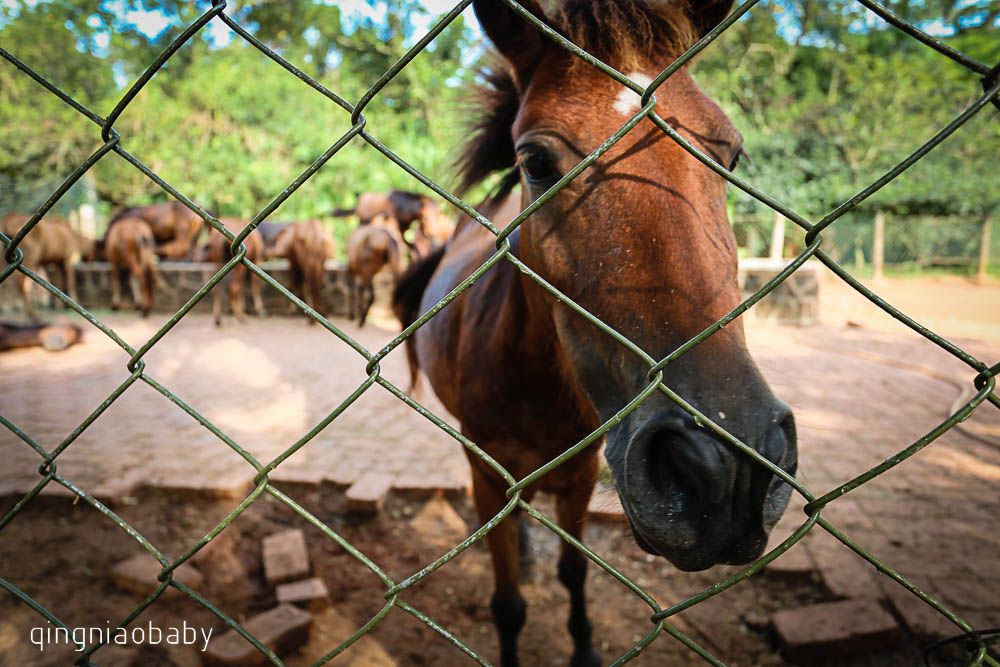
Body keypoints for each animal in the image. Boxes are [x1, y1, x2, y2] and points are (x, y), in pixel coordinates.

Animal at [392, 2, 796, 664]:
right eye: (534, 162)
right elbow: (507, 602)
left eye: (731, 155)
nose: (725, 471)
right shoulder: (486, 471)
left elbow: (575, 572)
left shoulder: (582, 474)